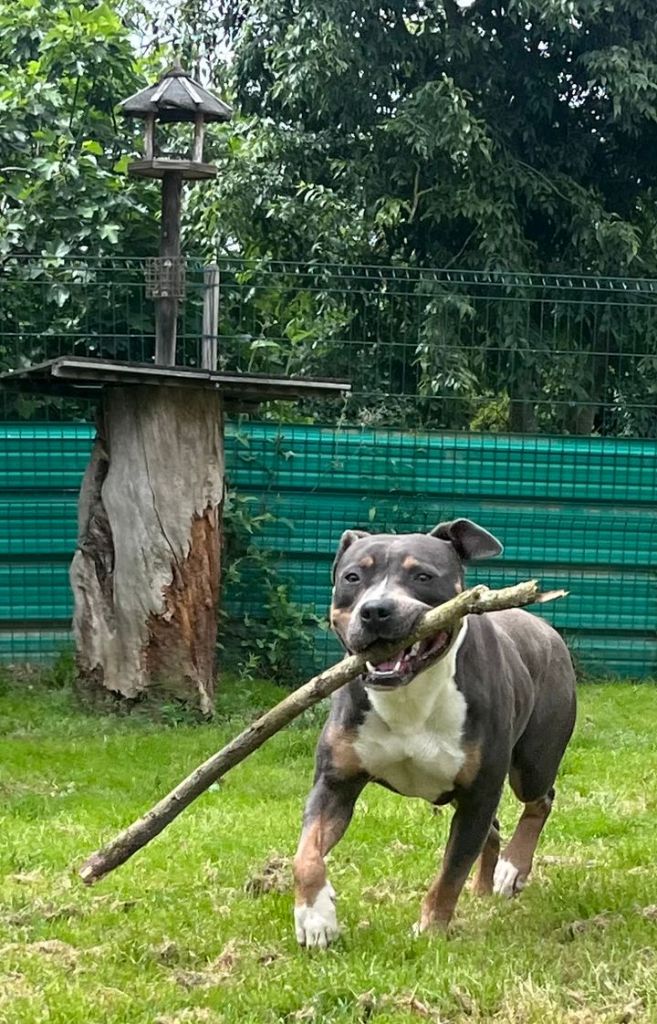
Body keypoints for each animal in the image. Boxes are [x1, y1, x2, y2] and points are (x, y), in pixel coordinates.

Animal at [290, 524, 573, 946]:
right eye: (353, 577)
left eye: (423, 576)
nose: (375, 610)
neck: (410, 692)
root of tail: (543, 627)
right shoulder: (335, 783)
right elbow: (306, 854)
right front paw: (315, 917)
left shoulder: (478, 793)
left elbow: (450, 872)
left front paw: (431, 929)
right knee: (493, 829)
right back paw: (483, 887)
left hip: (532, 764)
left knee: (540, 801)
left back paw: (513, 868)